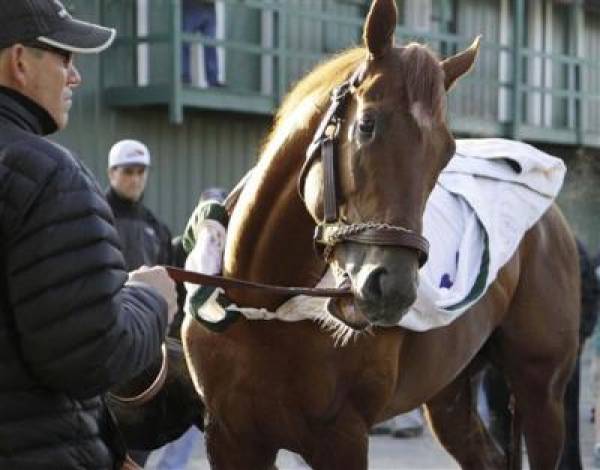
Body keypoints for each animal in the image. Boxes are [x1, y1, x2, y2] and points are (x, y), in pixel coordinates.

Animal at [183, 1, 580, 468]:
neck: (262, 308)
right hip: (450, 391)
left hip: (541, 393)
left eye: (445, 152)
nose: (390, 286)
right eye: (366, 125)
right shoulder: (232, 437)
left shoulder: (342, 437)